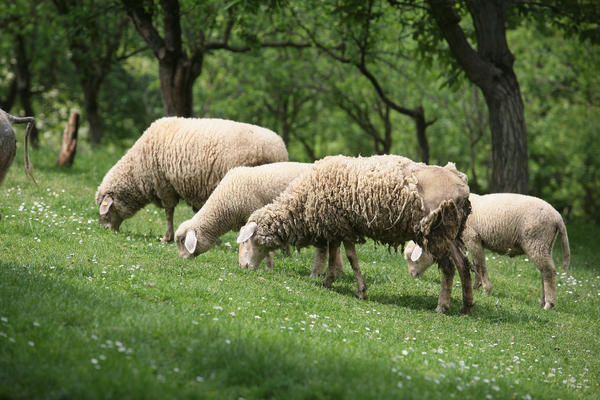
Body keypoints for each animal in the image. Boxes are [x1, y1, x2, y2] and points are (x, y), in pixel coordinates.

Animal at [95, 115, 288, 241]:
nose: (104, 230)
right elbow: (197, 211)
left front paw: (167, 237)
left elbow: (169, 212)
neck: (136, 171)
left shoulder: (164, 185)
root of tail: (280, 149)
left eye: (106, 209)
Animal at [234, 155, 474, 314]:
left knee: (449, 268)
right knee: (463, 263)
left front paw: (360, 291)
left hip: (436, 231)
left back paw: (442, 305)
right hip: (452, 233)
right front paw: (330, 281)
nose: (243, 267)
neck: (302, 202)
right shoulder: (338, 226)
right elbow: (336, 255)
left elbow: (350, 258)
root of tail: (462, 183)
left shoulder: (339, 225)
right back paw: (466, 305)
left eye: (247, 242)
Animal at [404, 193, 572, 310]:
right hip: (545, 245)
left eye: (414, 258)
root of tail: (558, 217)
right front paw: (475, 286)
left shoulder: (473, 238)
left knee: (549, 272)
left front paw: (485, 289)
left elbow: (480, 264)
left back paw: (549, 304)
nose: (412, 275)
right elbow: (473, 263)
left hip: (537, 241)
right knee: (545, 272)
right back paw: (543, 301)